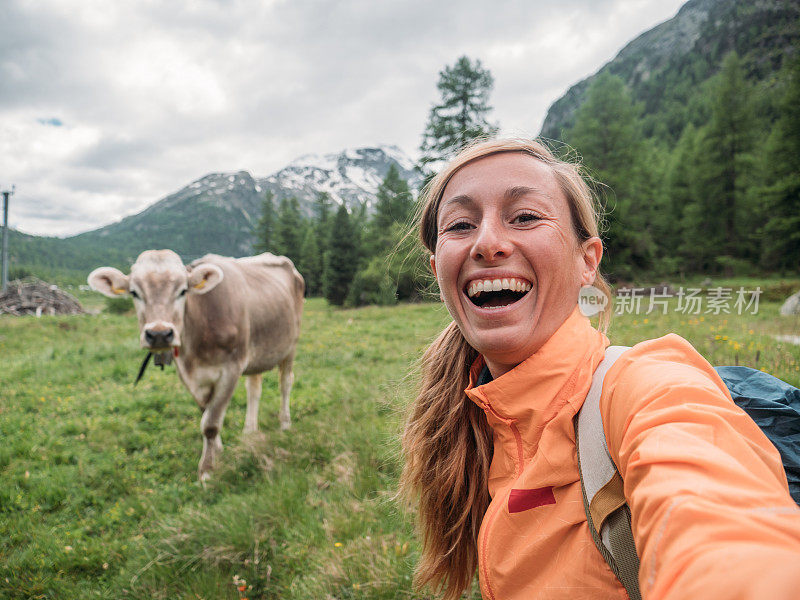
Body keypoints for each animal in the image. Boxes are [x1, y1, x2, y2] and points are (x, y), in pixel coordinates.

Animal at [87, 251, 304, 480]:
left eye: (183, 291)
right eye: (134, 292)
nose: (159, 334)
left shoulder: (231, 369)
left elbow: (210, 424)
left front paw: (206, 472)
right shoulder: (188, 373)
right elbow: (206, 413)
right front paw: (217, 451)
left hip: (291, 345)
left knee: (285, 383)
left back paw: (285, 424)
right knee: (254, 388)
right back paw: (250, 432)